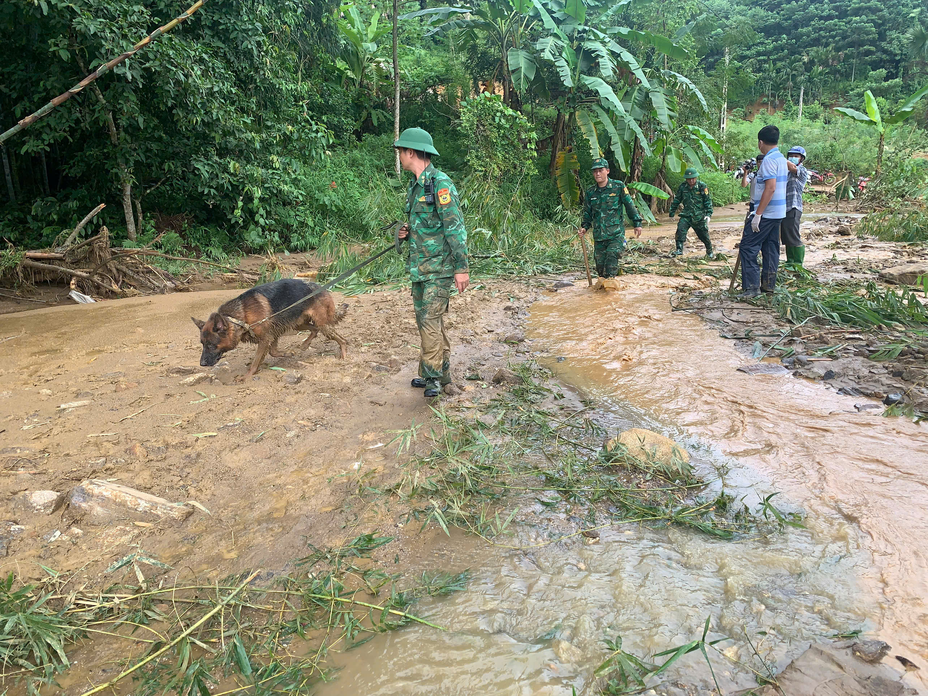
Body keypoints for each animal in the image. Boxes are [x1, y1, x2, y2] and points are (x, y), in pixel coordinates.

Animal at [192, 278, 348, 380]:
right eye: (203, 344)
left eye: (211, 345)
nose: (202, 364)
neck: (240, 317)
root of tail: (321, 287)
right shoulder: (273, 334)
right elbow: (273, 352)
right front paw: (287, 353)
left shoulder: (265, 338)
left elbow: (256, 361)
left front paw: (248, 375)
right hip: (298, 323)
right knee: (314, 329)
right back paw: (305, 345)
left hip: (322, 324)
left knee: (341, 339)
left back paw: (344, 353)